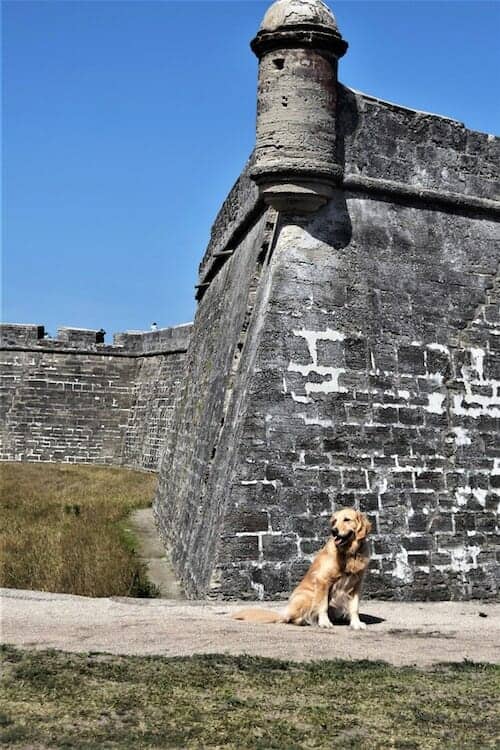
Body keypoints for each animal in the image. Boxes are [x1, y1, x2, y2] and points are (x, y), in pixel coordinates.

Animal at [231, 508, 372, 632]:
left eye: (347, 519)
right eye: (334, 521)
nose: (333, 531)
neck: (350, 554)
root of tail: (283, 612)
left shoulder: (356, 585)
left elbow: (354, 607)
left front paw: (356, 624)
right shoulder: (323, 580)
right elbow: (323, 606)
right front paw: (324, 623)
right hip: (307, 596)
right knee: (291, 618)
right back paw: (303, 621)